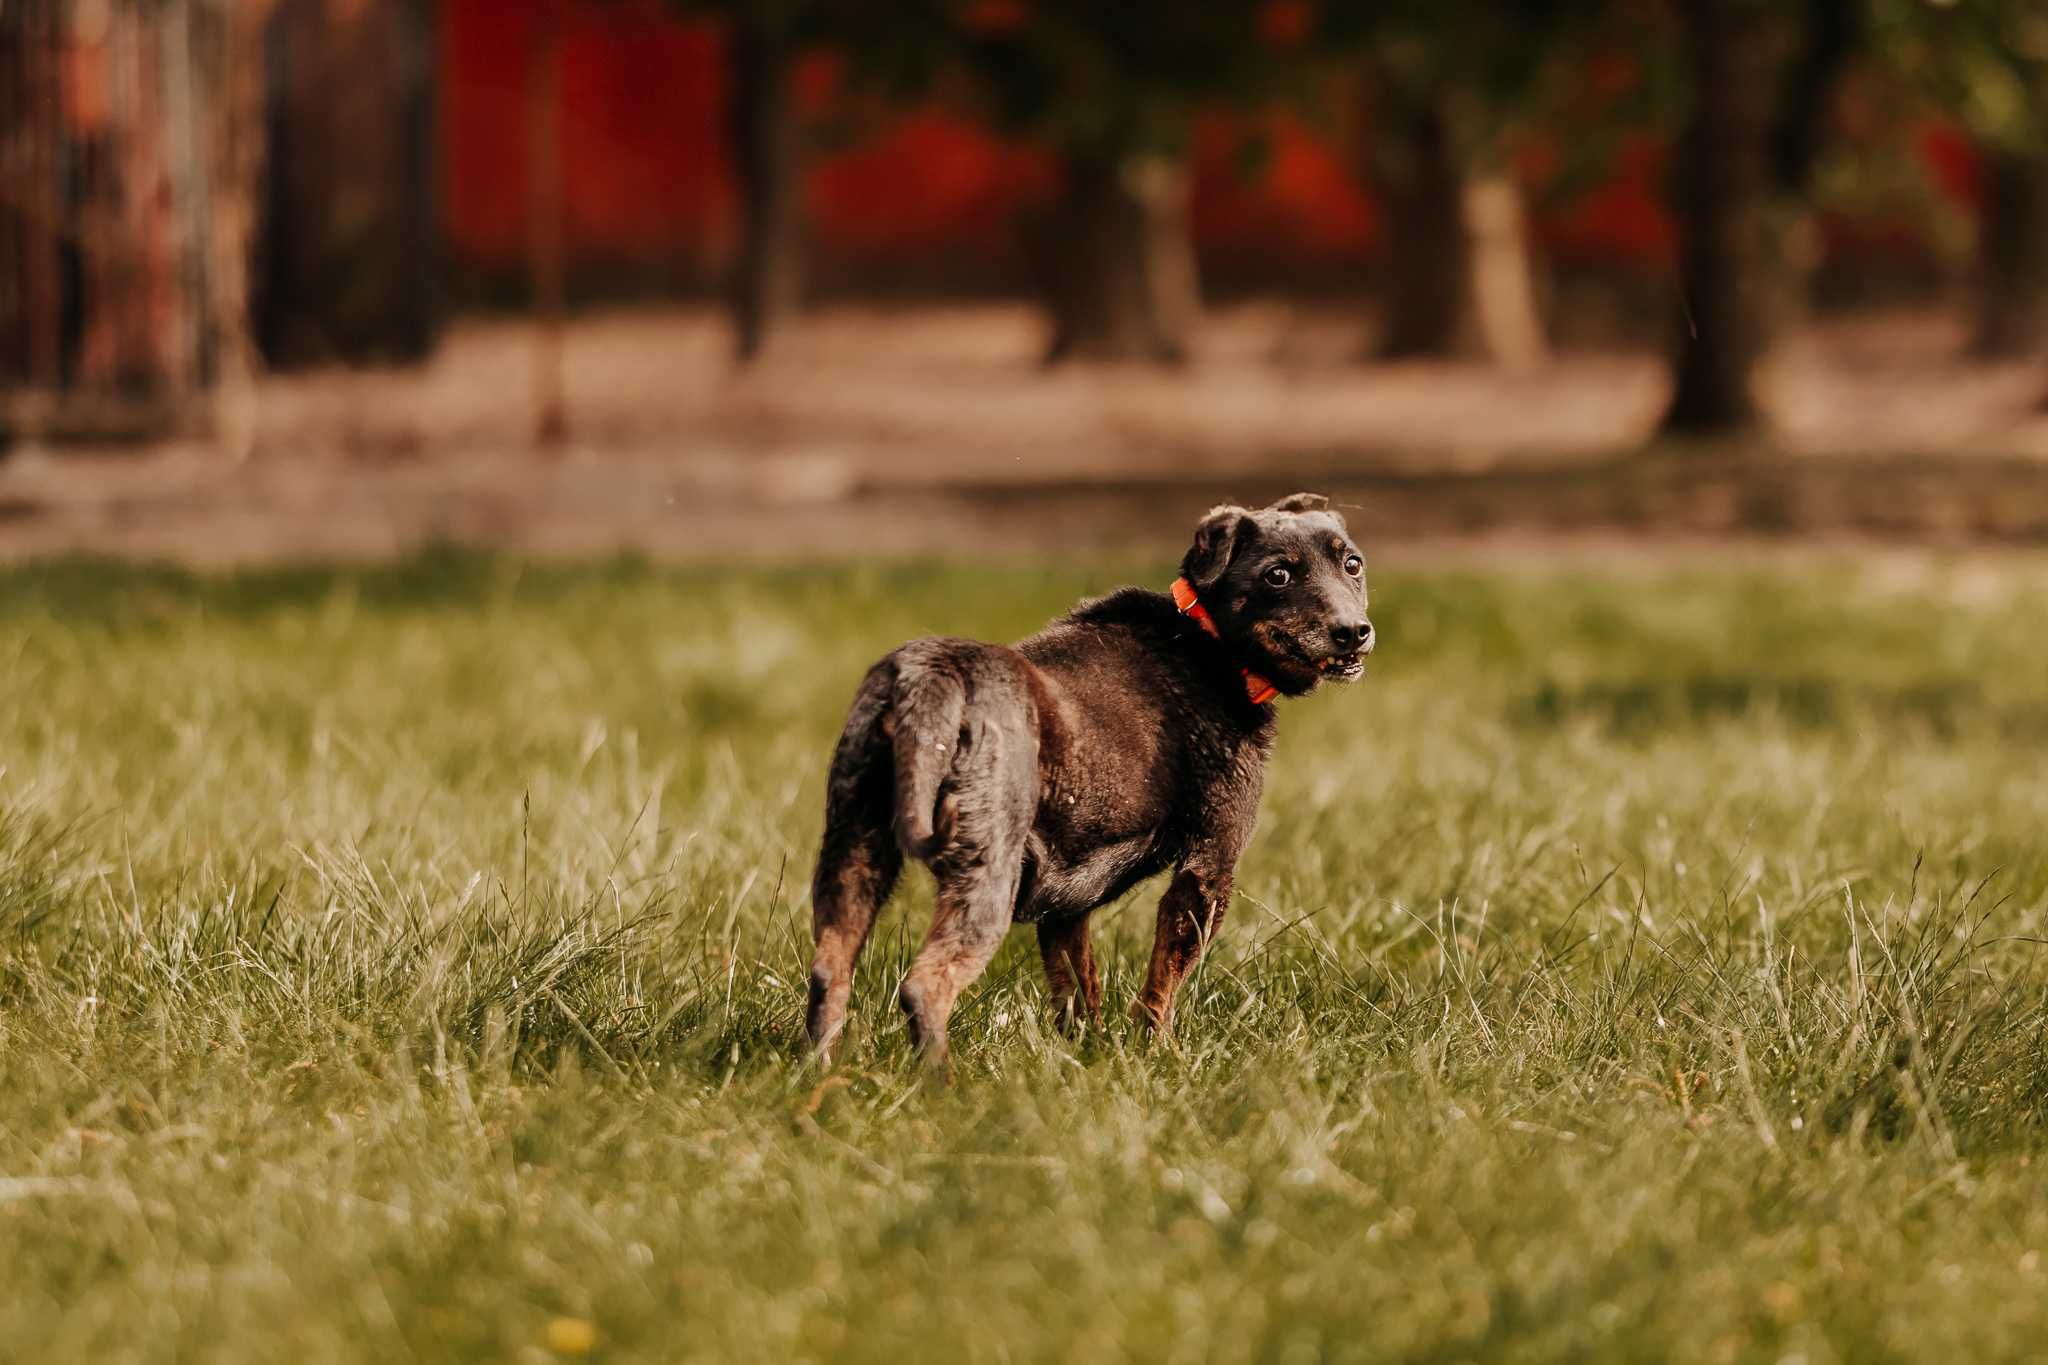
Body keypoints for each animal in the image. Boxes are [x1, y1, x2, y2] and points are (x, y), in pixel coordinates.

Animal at [802, 491, 1376, 1064]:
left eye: (1353, 564)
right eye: (1278, 574)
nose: (1354, 631)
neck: (1207, 639)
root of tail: (929, 677)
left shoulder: (1065, 905)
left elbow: (1080, 991)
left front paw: (1088, 1059)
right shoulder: (1209, 869)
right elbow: (1160, 991)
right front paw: (1156, 1056)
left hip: (854, 856)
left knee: (829, 973)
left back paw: (821, 1073)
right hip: (986, 874)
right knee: (925, 986)